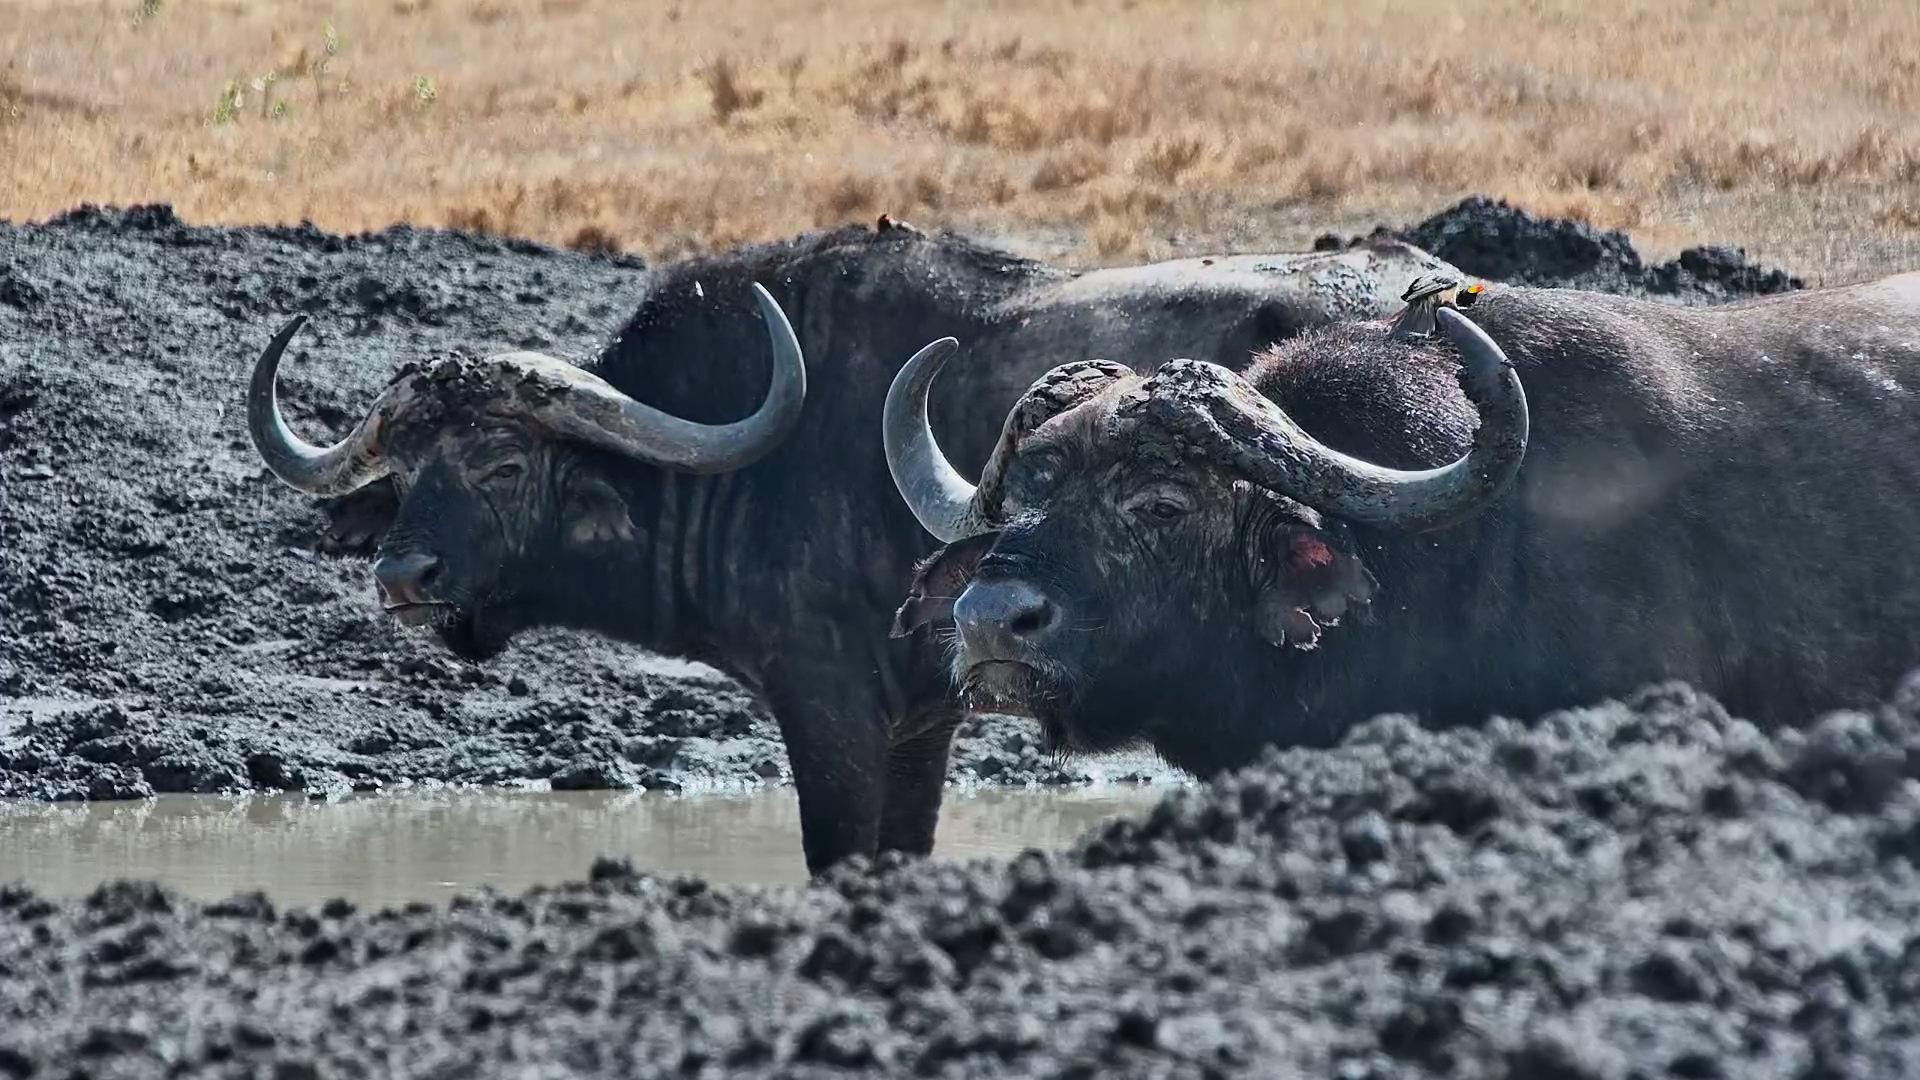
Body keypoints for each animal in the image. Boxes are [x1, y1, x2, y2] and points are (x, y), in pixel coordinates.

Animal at [246, 220, 1465, 874]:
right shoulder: (921, 716)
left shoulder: (826, 703)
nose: (402, 575)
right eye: (406, 465)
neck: (751, 460)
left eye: (501, 461)